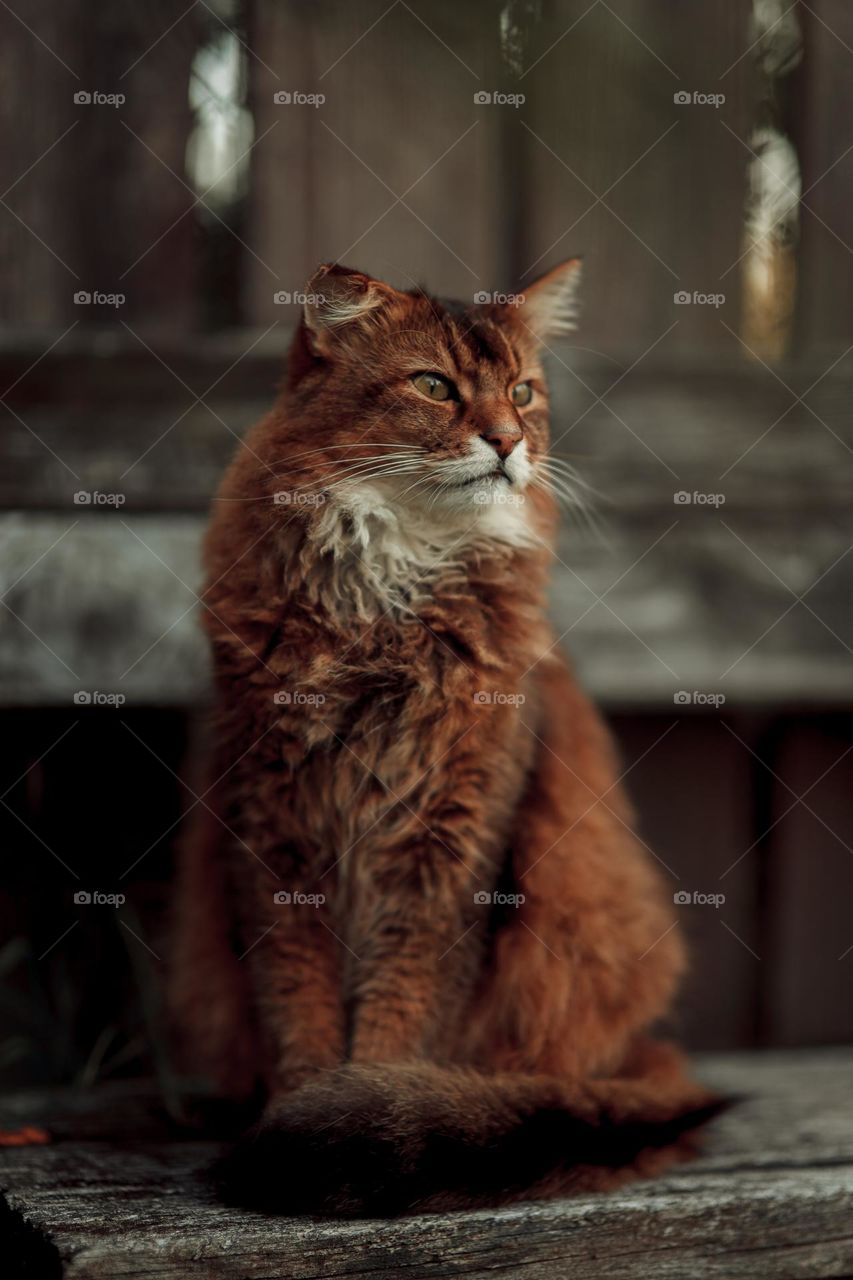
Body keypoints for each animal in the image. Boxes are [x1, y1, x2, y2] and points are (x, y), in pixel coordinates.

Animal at [169, 257, 722, 1208]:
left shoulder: (446, 845)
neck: (389, 600)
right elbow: (296, 1006)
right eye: (434, 387)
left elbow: (404, 1009)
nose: (506, 441)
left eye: (522, 391)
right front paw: (300, 1112)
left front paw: (358, 1111)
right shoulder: (273, 835)